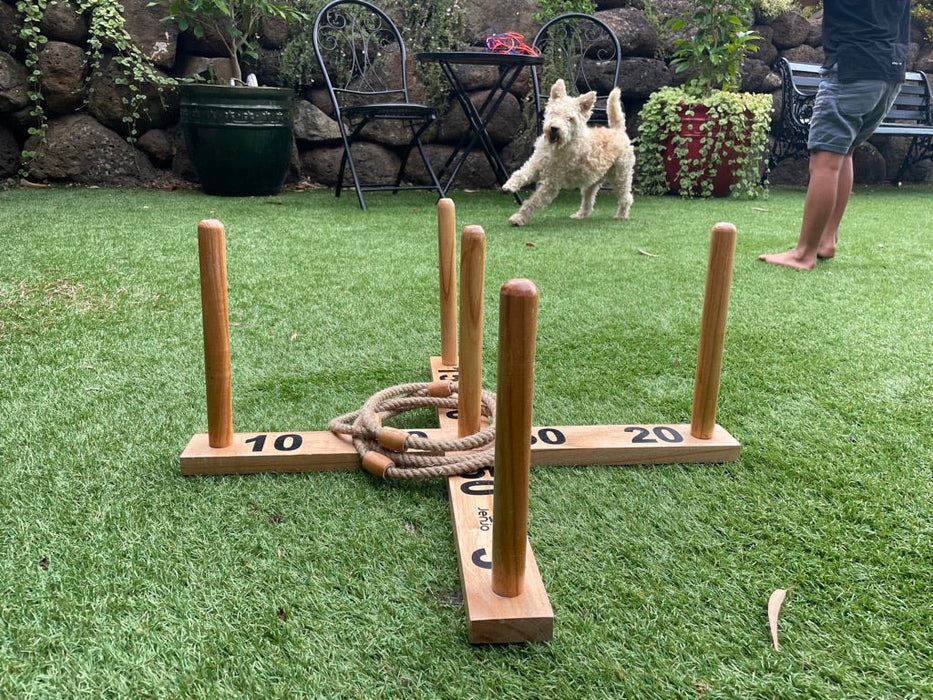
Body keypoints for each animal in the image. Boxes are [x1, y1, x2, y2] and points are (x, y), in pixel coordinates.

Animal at [502, 79, 632, 227]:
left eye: (569, 118)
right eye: (554, 112)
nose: (554, 128)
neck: (558, 147)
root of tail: (618, 130)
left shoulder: (551, 183)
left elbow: (533, 201)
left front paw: (518, 218)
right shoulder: (536, 164)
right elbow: (520, 174)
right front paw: (509, 186)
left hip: (621, 177)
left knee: (626, 198)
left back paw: (621, 215)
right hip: (592, 182)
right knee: (588, 201)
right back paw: (579, 215)